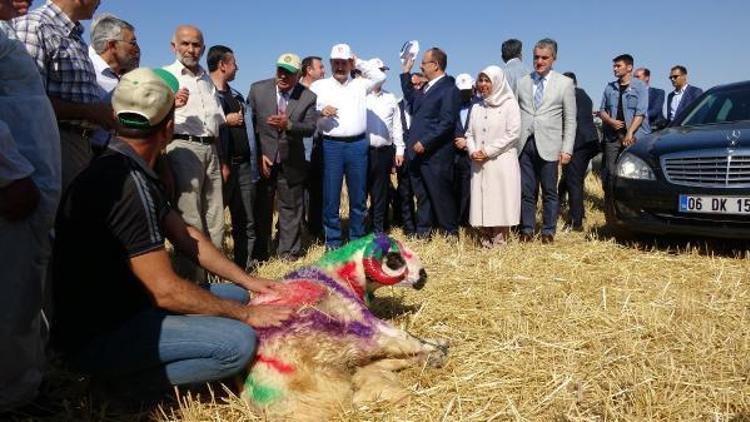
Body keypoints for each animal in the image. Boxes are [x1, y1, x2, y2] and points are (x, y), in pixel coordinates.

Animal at [244, 232, 450, 420]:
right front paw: (437, 345)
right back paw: (437, 352)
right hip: (346, 337)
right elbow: (405, 336)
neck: (337, 275)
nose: (424, 276)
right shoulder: (362, 316)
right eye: (395, 258)